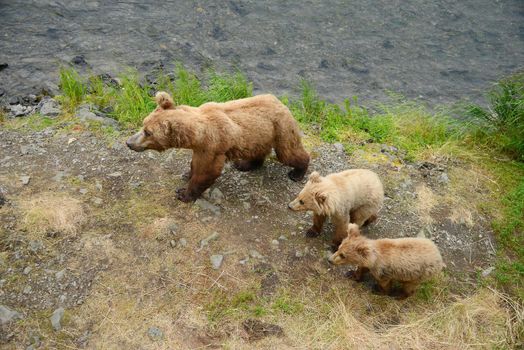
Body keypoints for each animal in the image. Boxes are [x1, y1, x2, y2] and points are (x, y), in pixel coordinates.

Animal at [126, 91, 310, 202]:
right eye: (143, 124)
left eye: (148, 132)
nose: (129, 142)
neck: (196, 135)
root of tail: (282, 103)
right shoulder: (201, 147)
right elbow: (195, 164)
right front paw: (187, 174)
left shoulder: (212, 145)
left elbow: (207, 171)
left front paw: (183, 193)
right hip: (260, 133)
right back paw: (244, 164)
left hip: (281, 128)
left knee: (288, 152)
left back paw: (297, 172)